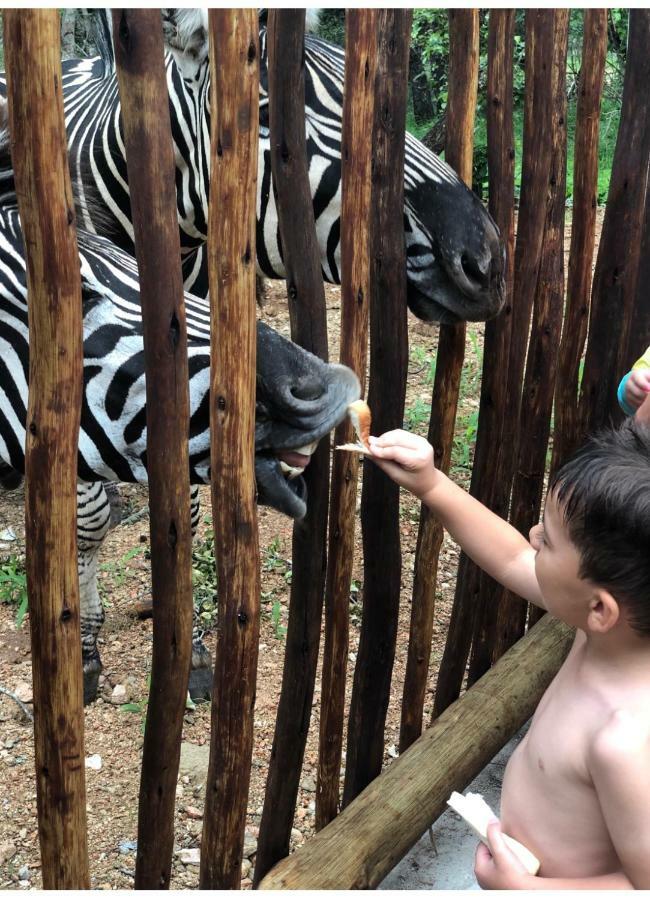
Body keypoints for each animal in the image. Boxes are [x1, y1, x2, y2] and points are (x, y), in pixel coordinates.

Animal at [0, 195, 360, 704]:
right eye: (76, 298)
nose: (326, 386)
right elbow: (89, 527)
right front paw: (84, 653)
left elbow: (182, 521)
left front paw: (192, 654)